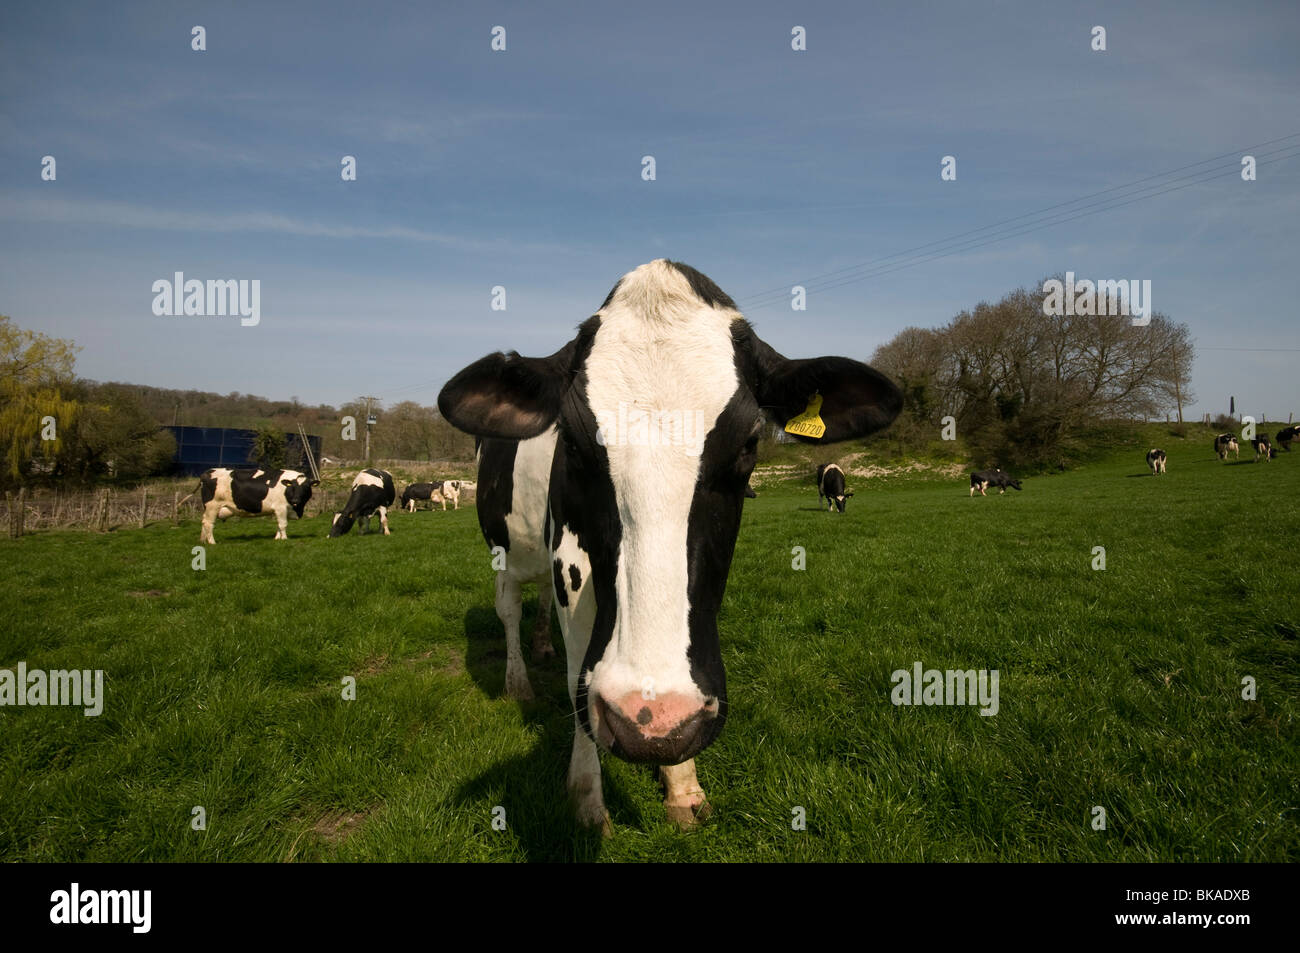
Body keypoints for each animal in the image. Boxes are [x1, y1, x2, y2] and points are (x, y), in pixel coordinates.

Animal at [181, 467, 317, 544]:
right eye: (292, 486)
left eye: (306, 487)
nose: (295, 500)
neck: (297, 508)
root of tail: (207, 472)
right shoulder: (280, 507)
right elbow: (283, 524)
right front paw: (284, 539)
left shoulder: (282, 510)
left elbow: (279, 525)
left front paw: (277, 539)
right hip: (212, 506)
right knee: (209, 523)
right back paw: (212, 542)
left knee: (204, 522)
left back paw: (203, 540)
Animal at [438, 259, 902, 834]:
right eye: (571, 441)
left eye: (750, 442)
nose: (653, 720)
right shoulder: (572, 564)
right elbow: (577, 677)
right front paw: (587, 799)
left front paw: (681, 784)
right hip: (504, 549)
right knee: (508, 609)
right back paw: (519, 679)